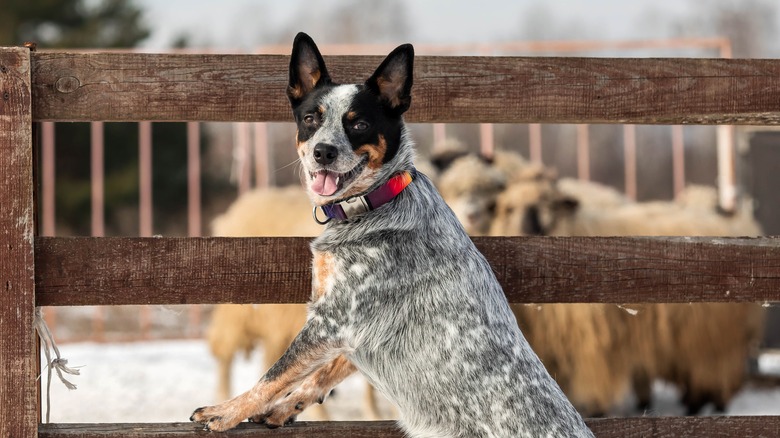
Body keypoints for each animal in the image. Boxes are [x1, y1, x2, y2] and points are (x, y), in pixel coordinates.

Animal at [192, 31, 596, 438]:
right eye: (310, 118)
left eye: (358, 124)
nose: (323, 151)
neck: (375, 203)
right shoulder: (353, 333)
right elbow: (319, 375)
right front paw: (282, 409)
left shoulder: (332, 321)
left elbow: (273, 375)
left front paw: (226, 412)